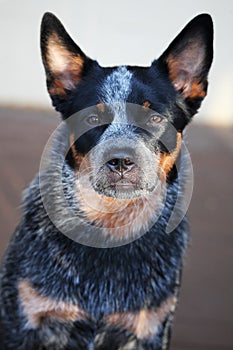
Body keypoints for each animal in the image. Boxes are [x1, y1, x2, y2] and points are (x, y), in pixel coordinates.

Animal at [0, 13, 213, 350]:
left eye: (154, 118)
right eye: (92, 119)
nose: (122, 160)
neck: (111, 226)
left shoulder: (150, 329)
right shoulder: (23, 322)